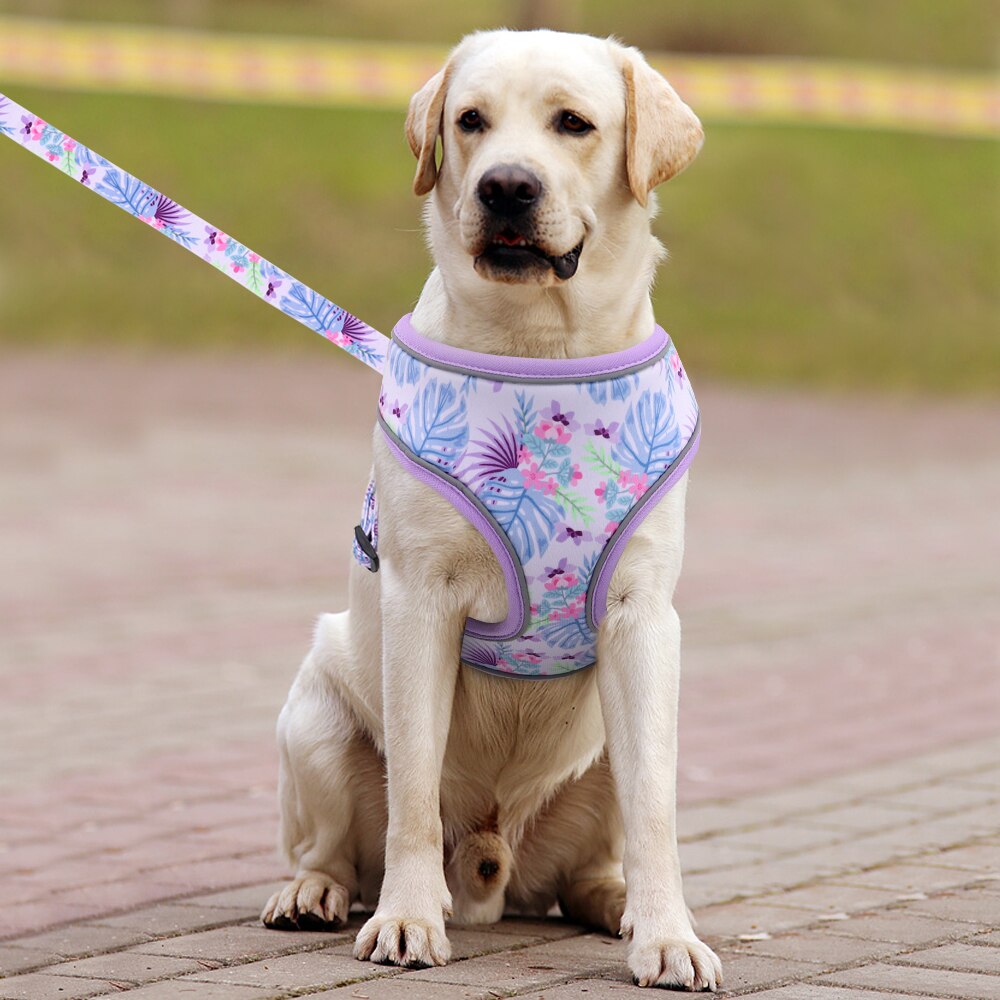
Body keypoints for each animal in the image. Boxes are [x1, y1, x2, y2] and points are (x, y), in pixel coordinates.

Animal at [262, 27, 724, 988]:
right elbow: (410, 792)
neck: (538, 351)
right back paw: (316, 893)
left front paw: (669, 936)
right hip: (317, 713)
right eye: (469, 120)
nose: (507, 186)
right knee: (333, 844)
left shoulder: (643, 620)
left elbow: (658, 811)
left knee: (591, 864)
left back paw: (619, 906)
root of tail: (491, 862)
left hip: (602, 756)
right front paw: (406, 919)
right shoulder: (419, 603)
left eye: (574, 123)